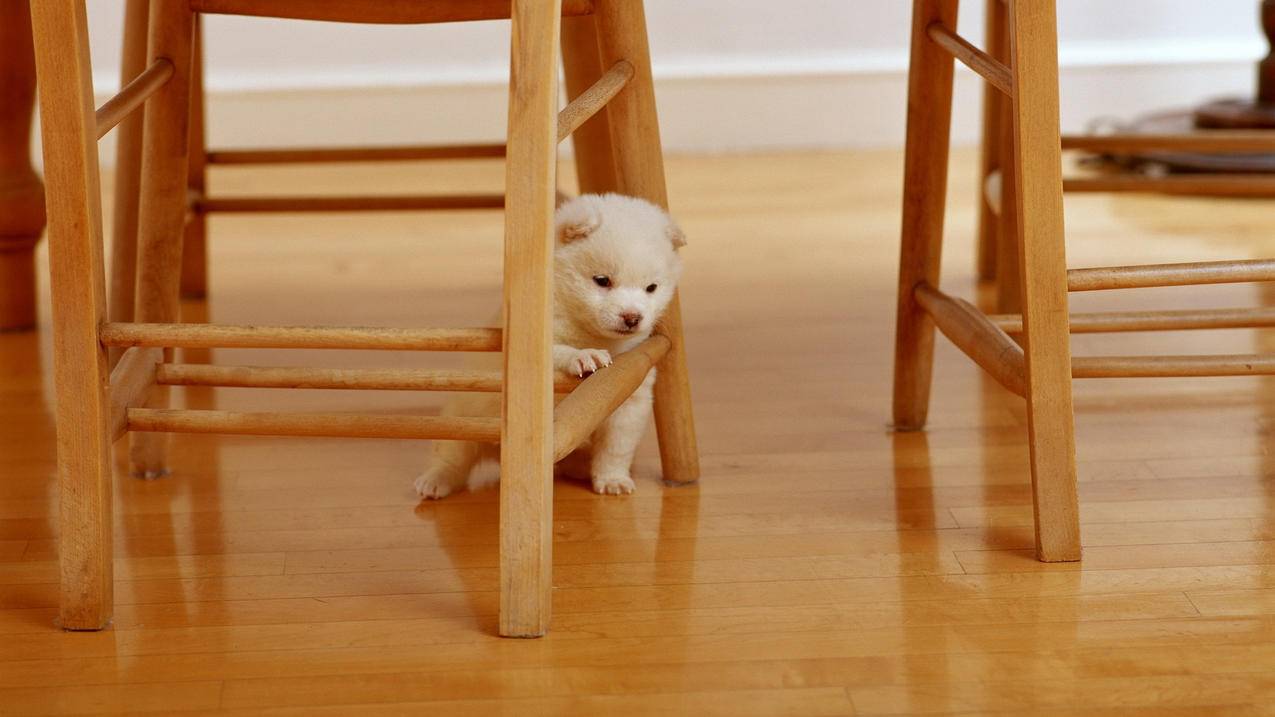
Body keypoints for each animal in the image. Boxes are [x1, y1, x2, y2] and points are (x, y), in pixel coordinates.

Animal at [413, 191, 683, 497]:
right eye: (602, 281)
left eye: (651, 288)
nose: (632, 317)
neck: (587, 330)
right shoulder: (532, 342)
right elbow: (558, 351)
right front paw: (584, 356)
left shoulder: (630, 403)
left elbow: (615, 450)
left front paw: (612, 479)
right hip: (462, 421)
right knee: (452, 458)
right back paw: (435, 481)